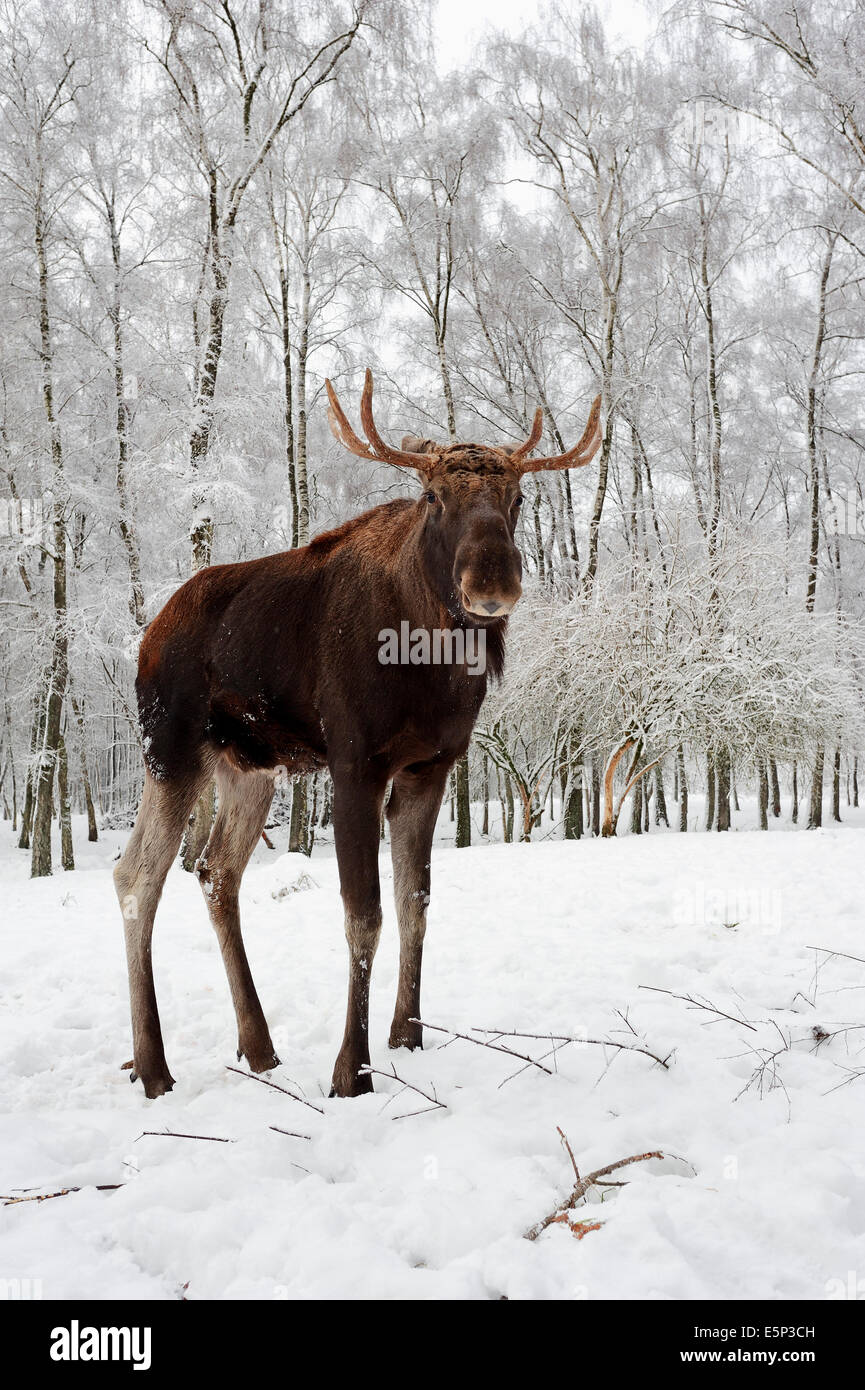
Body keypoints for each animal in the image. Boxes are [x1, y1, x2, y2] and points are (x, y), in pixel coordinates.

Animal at [115, 369, 603, 1095]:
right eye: (433, 496)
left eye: (516, 496)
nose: (491, 581)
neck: (431, 665)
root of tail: (147, 636)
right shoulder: (355, 763)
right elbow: (363, 912)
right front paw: (352, 1069)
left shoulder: (431, 766)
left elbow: (414, 903)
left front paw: (407, 1035)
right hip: (170, 751)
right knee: (137, 878)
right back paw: (153, 1067)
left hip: (248, 766)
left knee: (215, 872)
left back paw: (258, 1047)